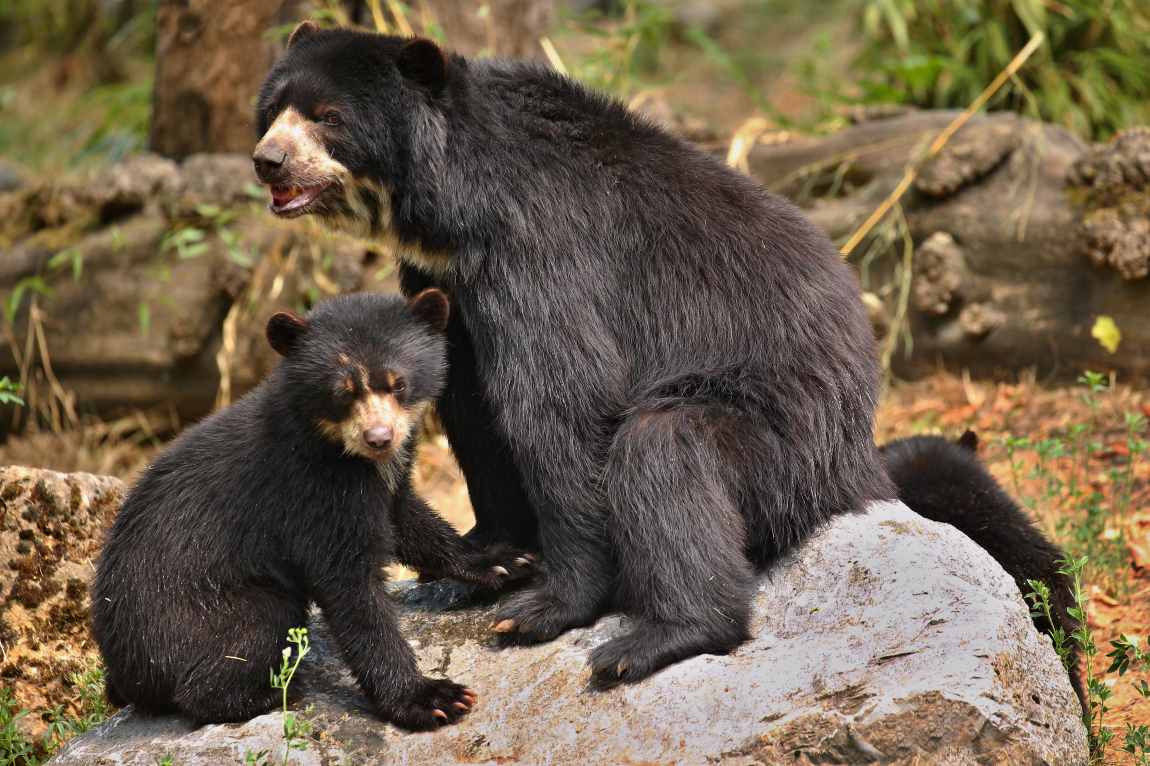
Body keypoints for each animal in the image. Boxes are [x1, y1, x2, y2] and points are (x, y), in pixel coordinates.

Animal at [256, 23, 892, 680]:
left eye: (329, 117)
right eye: (273, 109)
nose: (267, 161)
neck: (452, 211)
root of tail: (861, 458)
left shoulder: (540, 249)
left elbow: (559, 400)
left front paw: (543, 607)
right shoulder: (447, 281)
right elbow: (471, 407)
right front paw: (490, 557)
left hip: (782, 434)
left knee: (665, 451)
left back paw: (657, 637)